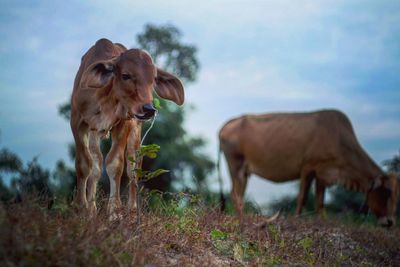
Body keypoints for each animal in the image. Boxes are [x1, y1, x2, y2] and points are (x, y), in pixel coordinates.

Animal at [70, 38, 184, 216]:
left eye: (153, 79)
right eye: (126, 75)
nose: (149, 109)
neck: (104, 98)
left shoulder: (124, 123)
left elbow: (115, 164)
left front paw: (114, 211)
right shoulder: (77, 122)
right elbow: (84, 164)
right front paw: (81, 208)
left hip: (135, 129)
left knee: (133, 168)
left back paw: (132, 210)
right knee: (96, 165)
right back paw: (92, 209)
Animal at [220, 110, 398, 227]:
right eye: (386, 192)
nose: (390, 221)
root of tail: (225, 127)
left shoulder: (323, 174)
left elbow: (320, 202)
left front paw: (322, 222)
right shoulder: (308, 167)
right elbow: (303, 198)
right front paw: (297, 220)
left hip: (244, 171)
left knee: (239, 194)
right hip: (235, 164)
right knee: (235, 194)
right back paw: (242, 220)